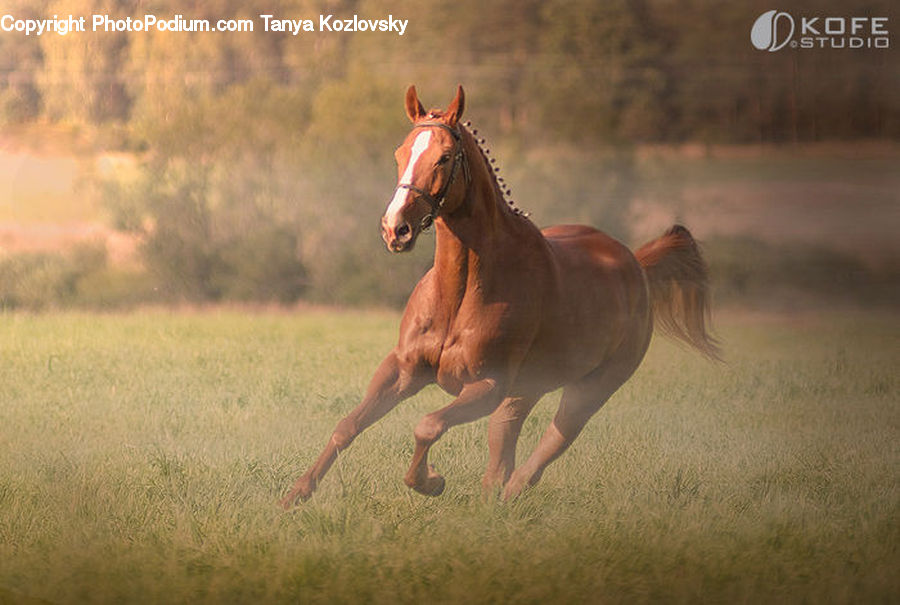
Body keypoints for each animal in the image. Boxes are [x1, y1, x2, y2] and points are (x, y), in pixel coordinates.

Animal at [281, 85, 719, 507]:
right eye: (400, 153)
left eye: (443, 157)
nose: (395, 229)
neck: (460, 293)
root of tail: (637, 265)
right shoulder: (404, 369)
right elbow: (348, 425)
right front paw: (295, 494)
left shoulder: (486, 385)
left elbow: (427, 425)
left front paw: (430, 481)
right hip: (526, 392)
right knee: (502, 454)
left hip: (590, 389)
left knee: (544, 450)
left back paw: (504, 499)